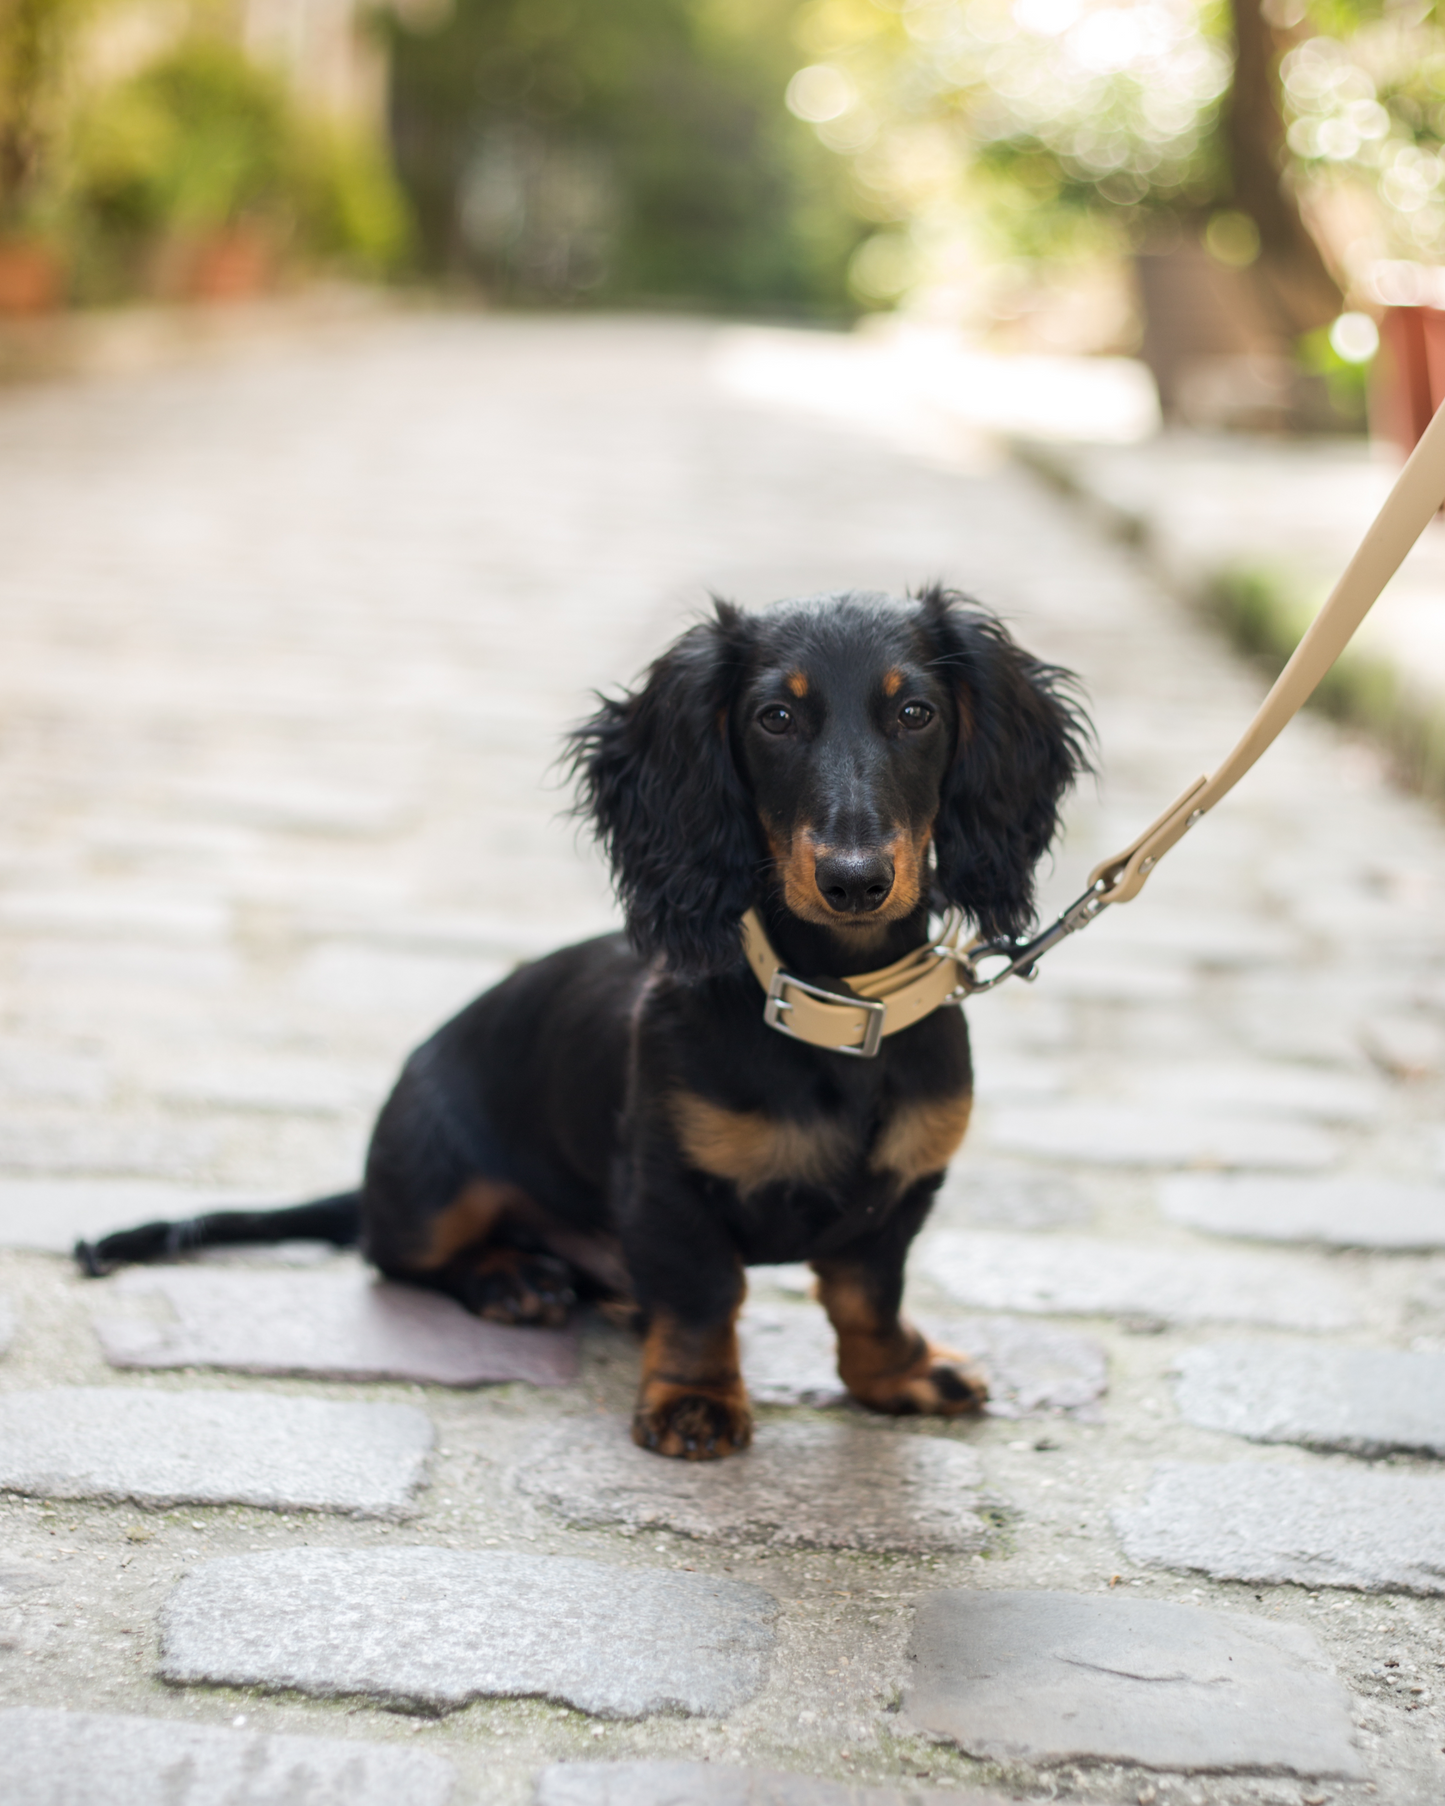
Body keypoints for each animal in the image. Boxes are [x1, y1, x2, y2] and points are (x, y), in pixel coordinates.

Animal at [79, 585, 1090, 1459]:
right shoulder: (666, 1182)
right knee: (397, 1254)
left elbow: (865, 1296)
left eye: (915, 713)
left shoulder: (901, 1193)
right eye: (775, 719)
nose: (853, 881)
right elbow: (704, 1292)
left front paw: (898, 1374)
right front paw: (695, 1398)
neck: (837, 1005)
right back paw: (511, 1278)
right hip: (432, 1186)